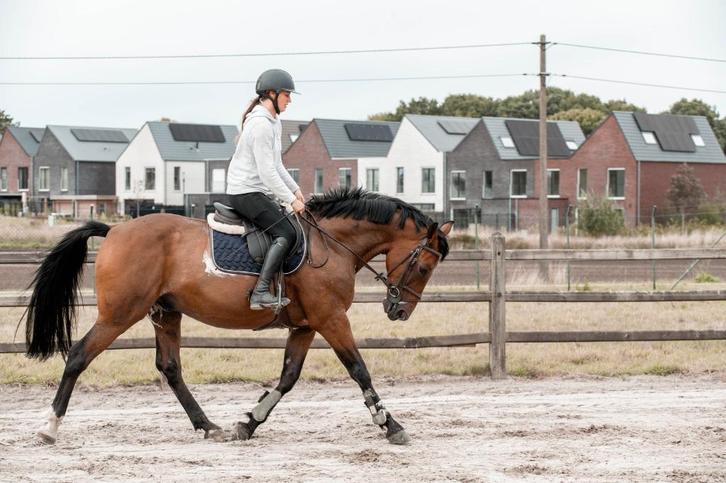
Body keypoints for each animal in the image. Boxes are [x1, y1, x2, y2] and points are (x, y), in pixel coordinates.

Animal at [25, 188, 452, 445]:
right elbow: (359, 370)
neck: (332, 245)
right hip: (120, 314)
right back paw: (48, 427)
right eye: (424, 266)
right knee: (79, 355)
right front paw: (391, 425)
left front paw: (248, 422)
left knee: (170, 367)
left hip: (166, 313)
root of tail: (113, 231)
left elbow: (288, 377)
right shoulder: (331, 320)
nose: (399, 310)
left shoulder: (306, 325)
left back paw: (207, 426)